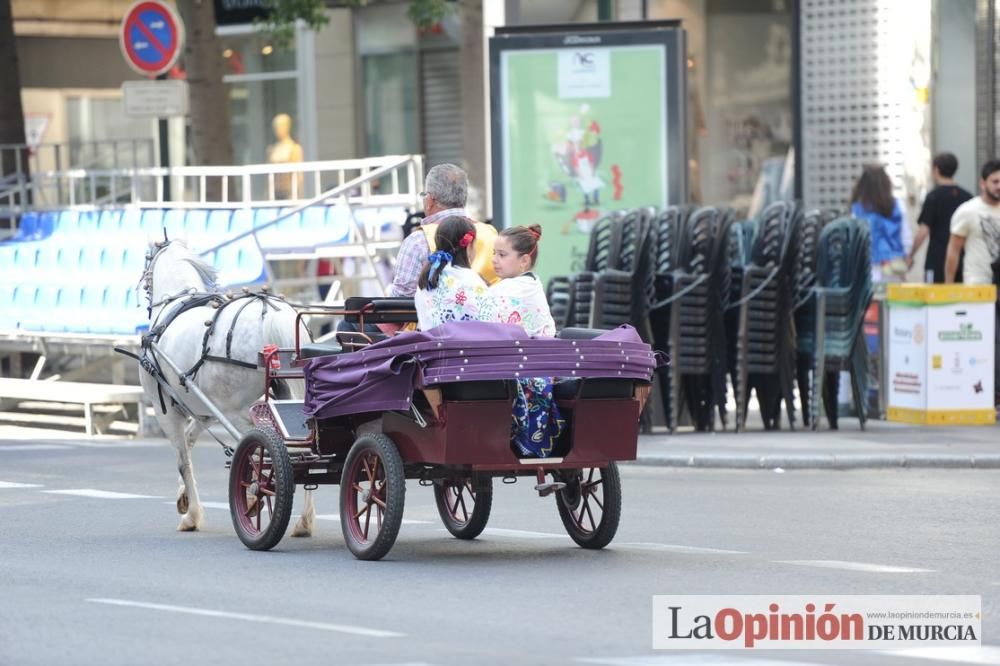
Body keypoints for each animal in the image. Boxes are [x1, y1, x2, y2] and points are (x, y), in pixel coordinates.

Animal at [139, 240, 314, 536]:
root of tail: (270, 311)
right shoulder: (205, 411)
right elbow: (190, 440)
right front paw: (183, 498)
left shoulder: (166, 412)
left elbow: (183, 460)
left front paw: (192, 515)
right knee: (306, 451)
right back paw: (303, 520)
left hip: (237, 411)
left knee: (269, 451)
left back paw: (258, 494)